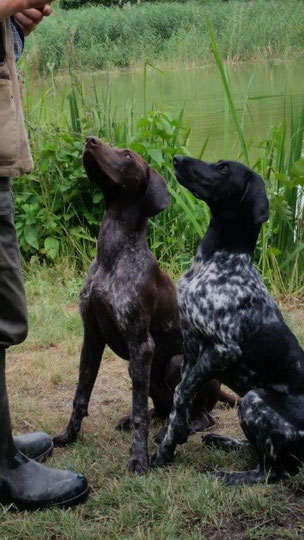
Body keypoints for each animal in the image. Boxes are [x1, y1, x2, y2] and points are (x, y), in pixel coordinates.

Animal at [53, 138, 236, 472]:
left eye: (127, 156)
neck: (112, 256)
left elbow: (139, 411)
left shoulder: (141, 343)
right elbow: (81, 395)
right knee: (161, 409)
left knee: (199, 416)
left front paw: (138, 458)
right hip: (143, 372)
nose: (90, 140)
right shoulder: (92, 337)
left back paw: (175, 429)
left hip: (175, 365)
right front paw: (69, 436)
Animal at [153, 156, 304, 486]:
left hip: (253, 399)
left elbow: (181, 393)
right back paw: (224, 441)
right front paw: (169, 445)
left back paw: (226, 475)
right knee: (254, 449)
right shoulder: (191, 348)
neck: (218, 262)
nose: (177, 159)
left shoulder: (223, 350)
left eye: (223, 169)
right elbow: (179, 401)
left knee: (270, 471)